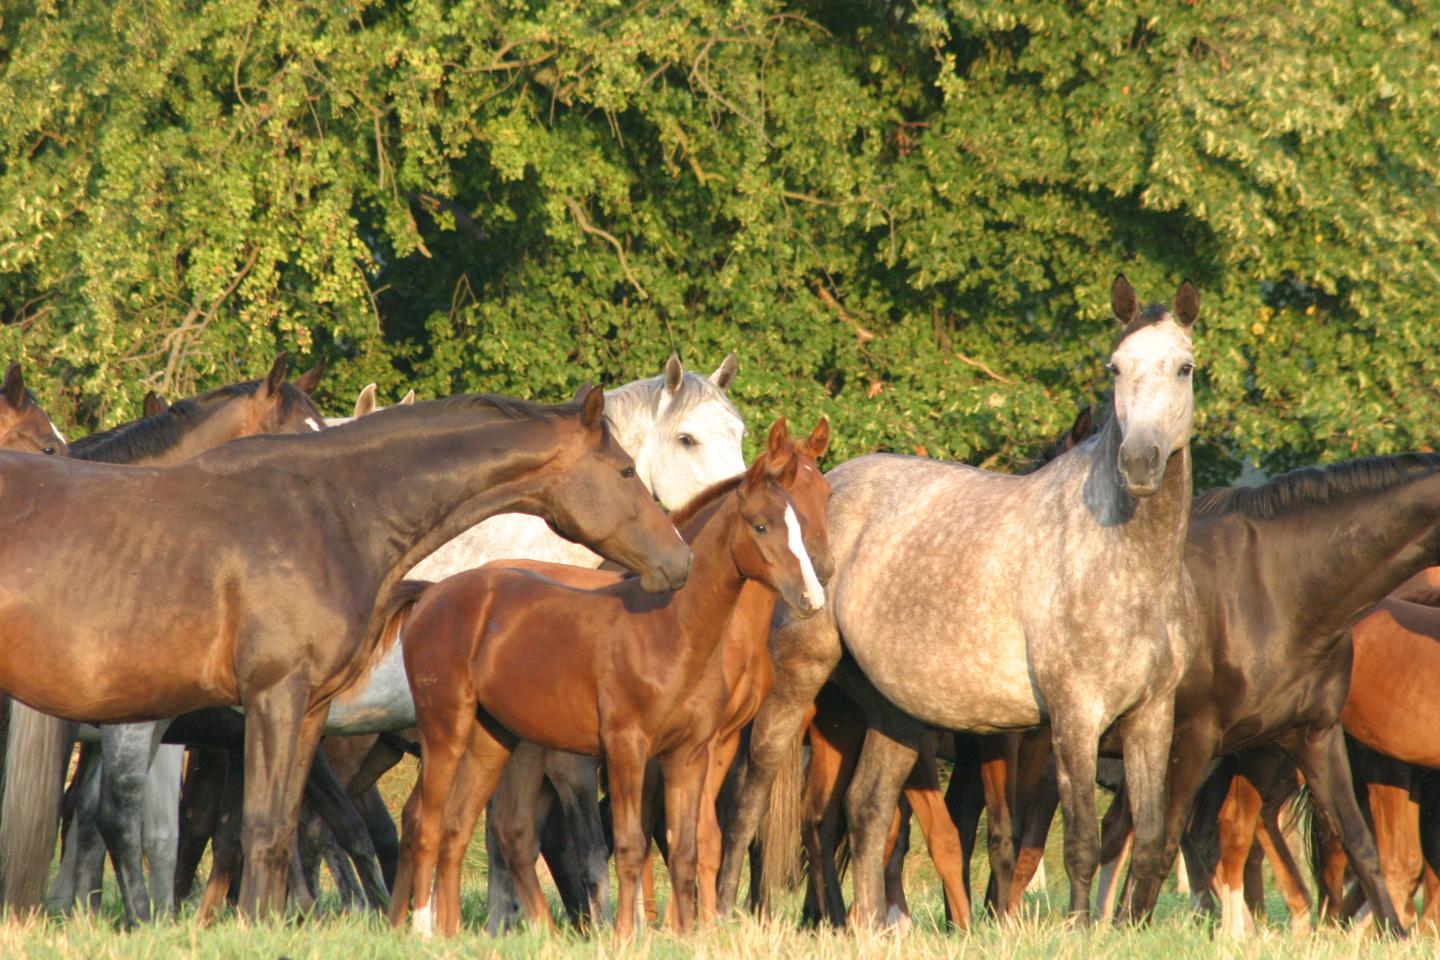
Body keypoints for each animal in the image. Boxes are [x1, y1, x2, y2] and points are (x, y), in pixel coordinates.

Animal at [0, 385, 691, 918]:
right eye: (625, 471)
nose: (679, 559)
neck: (331, 513)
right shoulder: (273, 697)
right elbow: (259, 826)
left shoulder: (306, 709)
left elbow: (280, 829)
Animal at [388, 419, 828, 940]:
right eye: (761, 525)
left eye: (816, 503)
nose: (813, 593)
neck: (672, 632)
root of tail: (432, 594)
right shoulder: (627, 751)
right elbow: (631, 846)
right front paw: (626, 934)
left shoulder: (691, 753)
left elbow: (688, 846)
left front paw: (686, 935)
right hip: (447, 733)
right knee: (430, 824)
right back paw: (421, 928)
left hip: (492, 741)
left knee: (464, 829)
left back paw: (457, 933)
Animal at [716, 277, 1199, 926]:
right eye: (1115, 368)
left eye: (1184, 368)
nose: (1140, 463)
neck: (1126, 563)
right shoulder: (1073, 716)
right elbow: (1077, 842)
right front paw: (1078, 930)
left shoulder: (1151, 716)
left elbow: (1145, 840)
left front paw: (1127, 928)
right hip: (798, 682)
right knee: (752, 799)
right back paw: (720, 913)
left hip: (888, 711)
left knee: (868, 811)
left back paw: (870, 927)